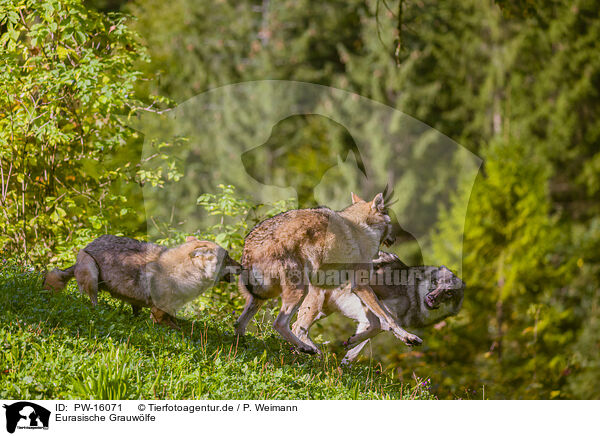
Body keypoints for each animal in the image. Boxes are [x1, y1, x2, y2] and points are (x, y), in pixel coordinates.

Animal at [42, 235, 240, 328]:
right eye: (228, 258)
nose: (242, 267)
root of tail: (87, 246)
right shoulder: (158, 313)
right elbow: (174, 328)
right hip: (91, 274)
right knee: (92, 303)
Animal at [232, 192, 424, 354]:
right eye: (391, 223)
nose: (395, 239)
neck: (363, 229)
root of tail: (248, 249)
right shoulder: (361, 286)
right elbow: (389, 318)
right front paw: (409, 337)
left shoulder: (357, 288)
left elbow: (376, 324)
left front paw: (353, 340)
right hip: (302, 292)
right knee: (281, 324)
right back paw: (307, 349)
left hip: (263, 298)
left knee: (239, 324)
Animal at [292, 250, 466, 362]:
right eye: (435, 282)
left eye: (449, 293)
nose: (431, 297)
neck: (411, 293)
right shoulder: (364, 288)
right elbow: (388, 320)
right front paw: (410, 337)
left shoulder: (367, 322)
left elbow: (358, 348)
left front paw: (347, 356)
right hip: (316, 304)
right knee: (297, 329)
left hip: (322, 311)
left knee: (297, 327)